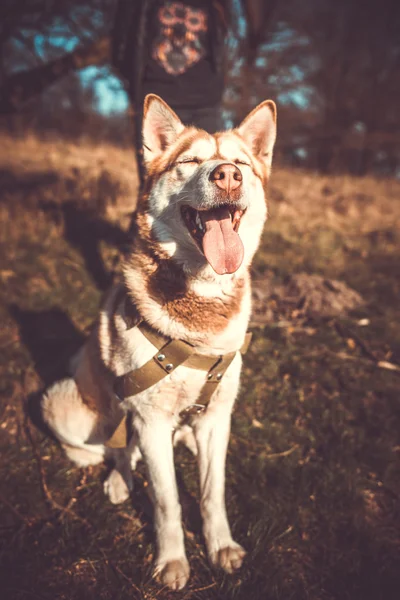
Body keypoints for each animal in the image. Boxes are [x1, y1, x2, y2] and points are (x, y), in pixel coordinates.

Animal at [42, 94, 276, 592]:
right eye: (189, 162)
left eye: (242, 164)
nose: (228, 175)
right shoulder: (149, 420)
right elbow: (167, 500)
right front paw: (171, 561)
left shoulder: (218, 418)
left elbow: (211, 492)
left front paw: (221, 547)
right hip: (63, 405)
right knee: (113, 448)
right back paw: (118, 479)